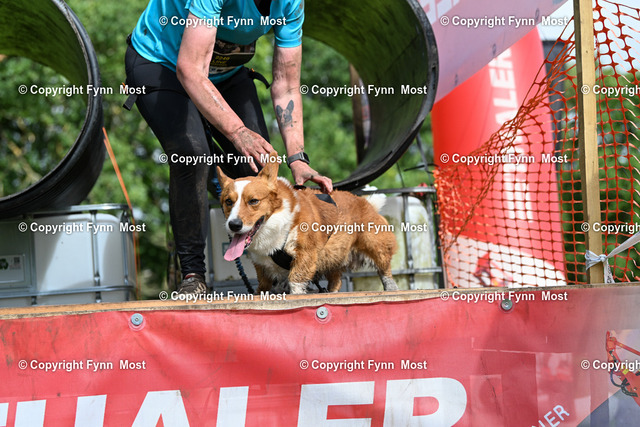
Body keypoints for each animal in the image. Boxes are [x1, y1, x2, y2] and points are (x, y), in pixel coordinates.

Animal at [216, 154, 398, 294]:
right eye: (228, 202)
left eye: (253, 201)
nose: (234, 225)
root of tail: (368, 203)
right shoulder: (262, 265)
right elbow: (264, 285)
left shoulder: (305, 253)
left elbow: (296, 280)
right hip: (334, 256)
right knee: (336, 280)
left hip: (375, 245)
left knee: (385, 269)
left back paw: (391, 288)